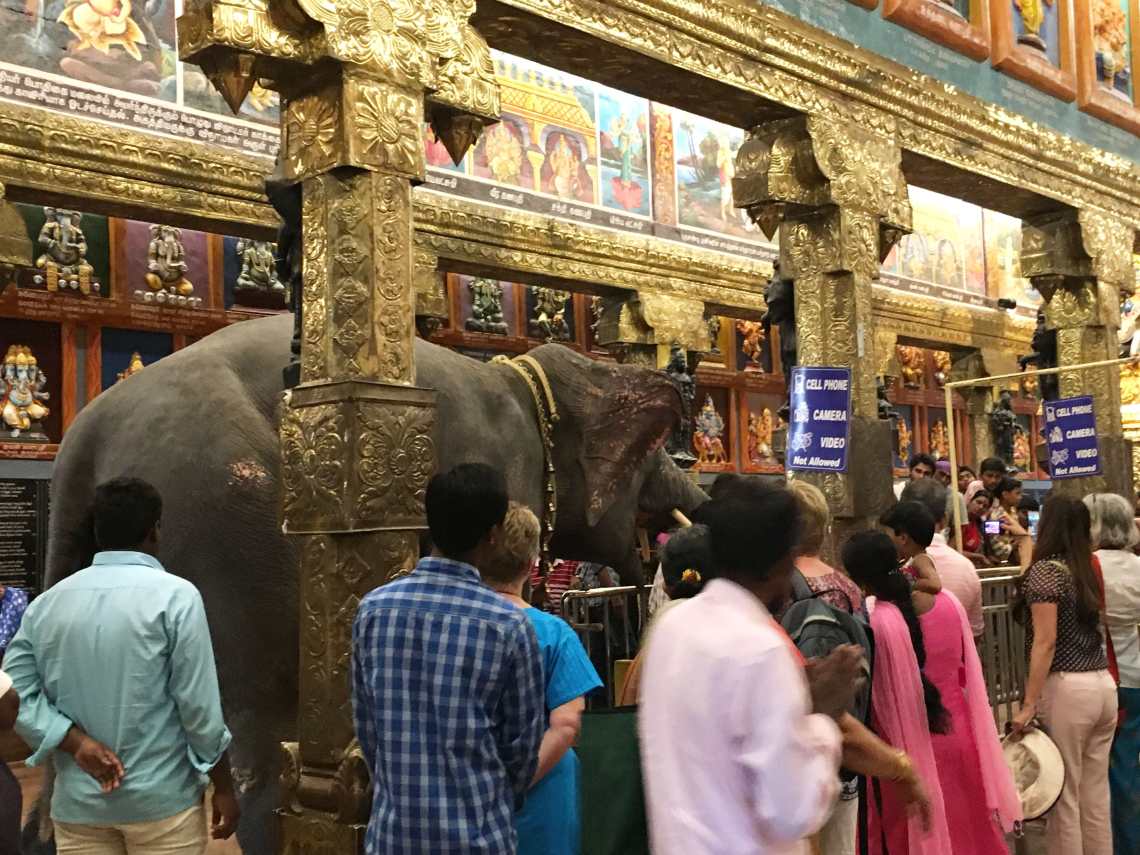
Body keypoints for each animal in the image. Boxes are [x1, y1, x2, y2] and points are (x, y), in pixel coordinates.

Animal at [33, 314, 702, 855]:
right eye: (651, 458)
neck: (529, 377)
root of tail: (86, 439)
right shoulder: (510, 468)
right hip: (226, 509)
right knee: (264, 727)